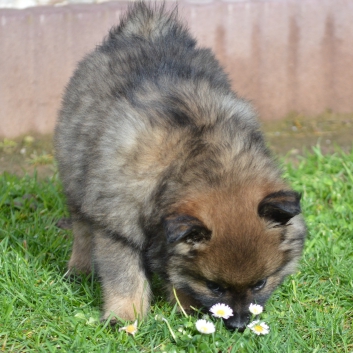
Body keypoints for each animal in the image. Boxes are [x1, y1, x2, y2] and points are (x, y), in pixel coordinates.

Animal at [53, 2, 304, 330]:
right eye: (215, 286)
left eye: (260, 283)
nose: (237, 325)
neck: (195, 160)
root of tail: (145, 31)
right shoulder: (118, 228)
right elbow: (125, 278)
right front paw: (125, 318)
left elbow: (178, 276)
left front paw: (187, 311)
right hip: (76, 180)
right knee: (82, 230)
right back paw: (79, 270)